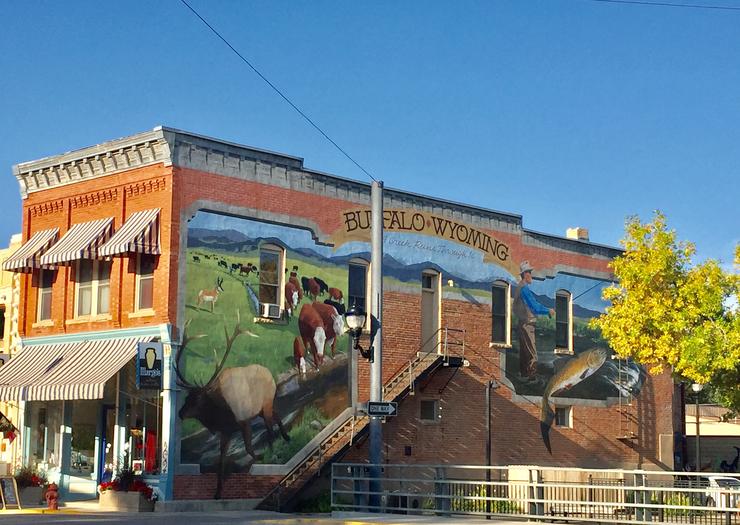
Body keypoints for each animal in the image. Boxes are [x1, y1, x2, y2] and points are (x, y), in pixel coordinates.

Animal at [174, 314, 290, 498]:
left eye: (198, 398)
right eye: (187, 397)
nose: (180, 413)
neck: (220, 414)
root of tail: (269, 372)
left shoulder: (243, 420)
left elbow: (249, 448)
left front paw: (261, 457)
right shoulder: (225, 430)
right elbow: (221, 458)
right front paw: (218, 492)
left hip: (266, 402)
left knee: (270, 425)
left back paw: (274, 445)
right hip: (261, 408)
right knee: (276, 415)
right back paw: (286, 436)